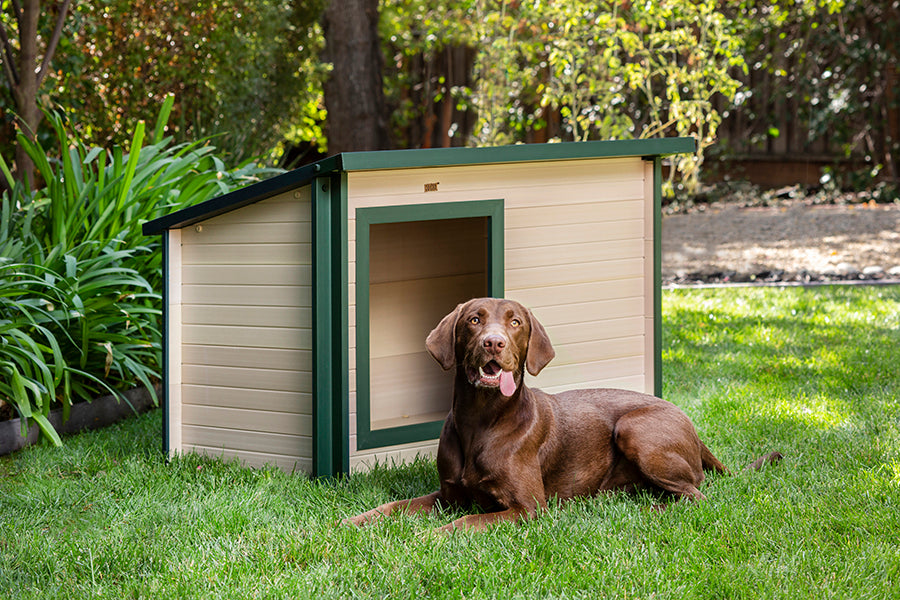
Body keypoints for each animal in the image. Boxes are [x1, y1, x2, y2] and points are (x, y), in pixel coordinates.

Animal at [344, 298, 780, 532]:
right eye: (474, 319)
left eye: (515, 322)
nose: (493, 343)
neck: (480, 421)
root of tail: (691, 425)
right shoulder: (449, 495)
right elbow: (394, 506)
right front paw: (352, 522)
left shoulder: (527, 509)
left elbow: (467, 522)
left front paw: (428, 537)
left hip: (634, 429)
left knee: (696, 494)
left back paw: (648, 511)